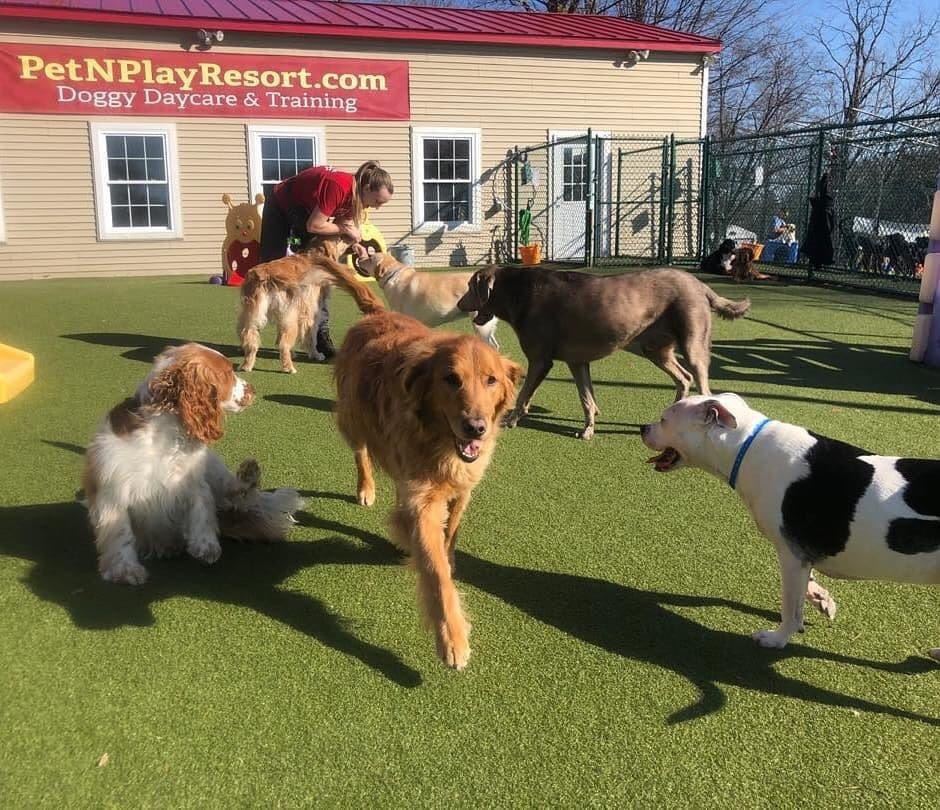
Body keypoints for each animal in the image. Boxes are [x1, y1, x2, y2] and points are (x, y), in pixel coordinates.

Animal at [82, 344, 302, 584]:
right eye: (227, 373)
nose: (252, 389)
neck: (165, 429)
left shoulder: (192, 479)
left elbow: (202, 509)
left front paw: (206, 546)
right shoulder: (114, 490)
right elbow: (121, 533)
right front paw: (125, 569)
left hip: (214, 465)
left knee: (236, 493)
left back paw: (249, 473)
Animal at [640, 394, 940, 660]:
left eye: (664, 420)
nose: (643, 428)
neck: (747, 446)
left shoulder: (790, 556)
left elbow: (790, 608)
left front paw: (778, 638)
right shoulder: (801, 556)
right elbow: (806, 588)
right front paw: (820, 598)